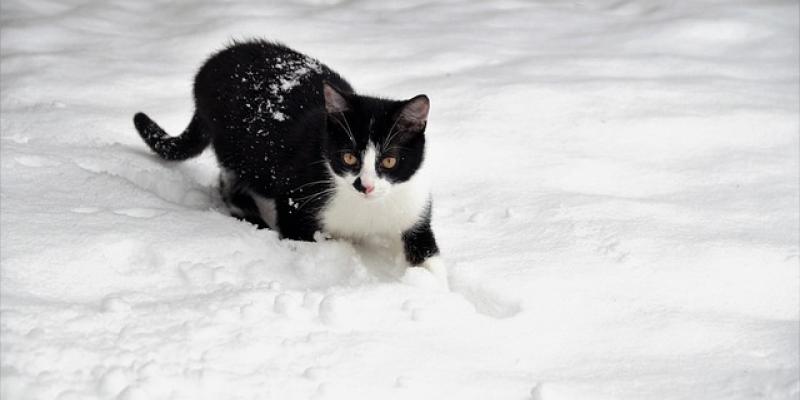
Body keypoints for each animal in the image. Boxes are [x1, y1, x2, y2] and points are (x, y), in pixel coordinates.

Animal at [131, 38, 444, 282]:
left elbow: (428, 255)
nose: (364, 186)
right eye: (348, 157)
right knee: (230, 182)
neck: (367, 209)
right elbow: (299, 235)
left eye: (389, 161)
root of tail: (210, 65)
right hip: (238, 149)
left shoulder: (413, 206)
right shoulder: (296, 197)